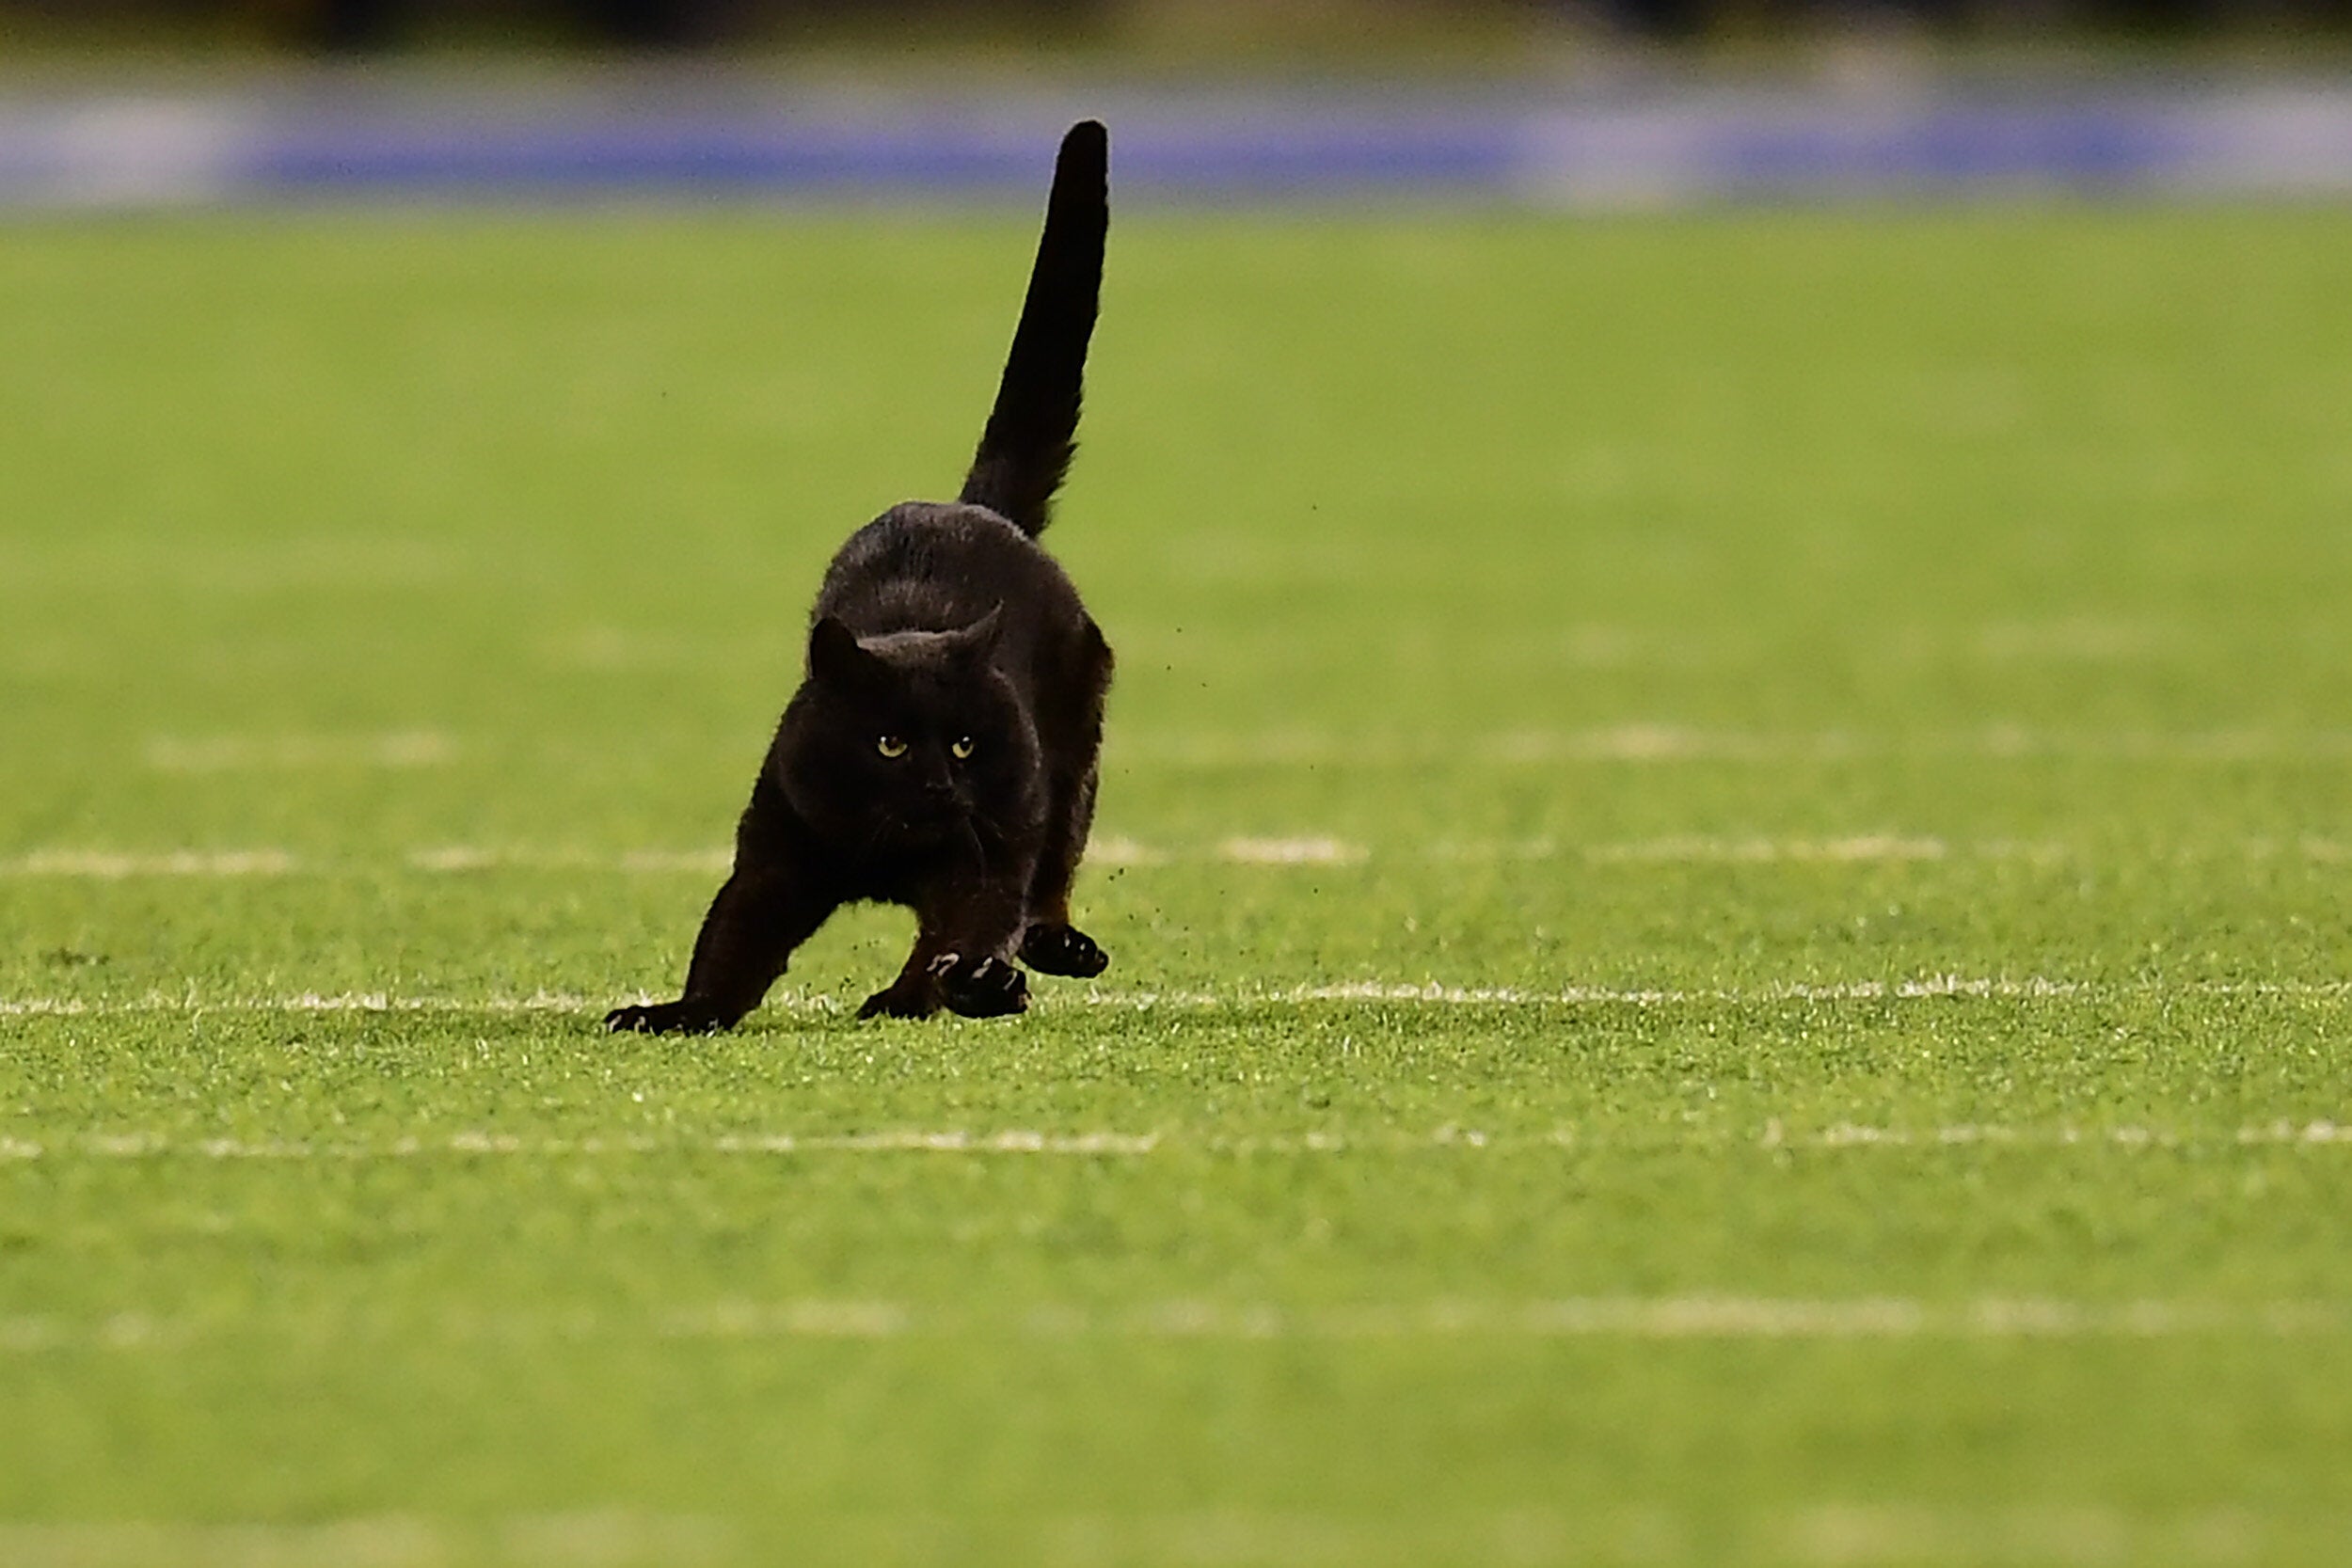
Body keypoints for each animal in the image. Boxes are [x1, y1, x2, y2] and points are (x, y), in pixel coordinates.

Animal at [607, 122, 1120, 1029]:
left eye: (964, 742)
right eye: (888, 742)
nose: (937, 782)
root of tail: (977, 507)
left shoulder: (985, 850)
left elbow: (970, 923)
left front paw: (962, 988)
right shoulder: (776, 853)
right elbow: (730, 944)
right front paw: (678, 1013)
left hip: (1069, 755)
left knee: (1047, 873)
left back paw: (1028, 962)